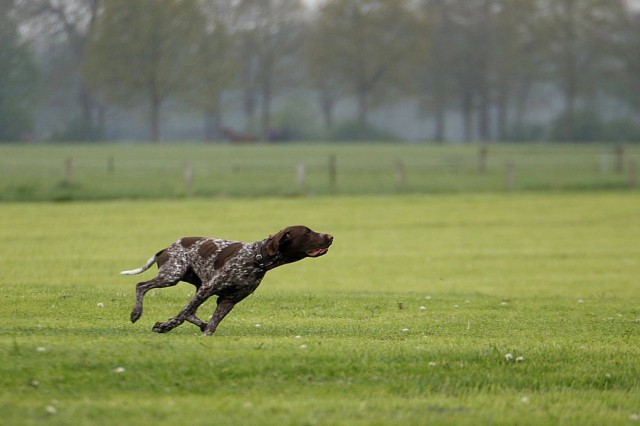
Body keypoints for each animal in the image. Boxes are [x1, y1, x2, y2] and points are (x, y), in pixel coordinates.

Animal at [119, 226, 336, 336]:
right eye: (307, 232)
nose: (331, 236)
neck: (256, 259)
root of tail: (167, 247)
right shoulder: (209, 288)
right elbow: (181, 314)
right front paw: (165, 326)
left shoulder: (228, 300)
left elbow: (213, 323)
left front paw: (205, 333)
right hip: (173, 275)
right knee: (142, 286)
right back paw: (136, 313)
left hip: (194, 284)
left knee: (192, 313)